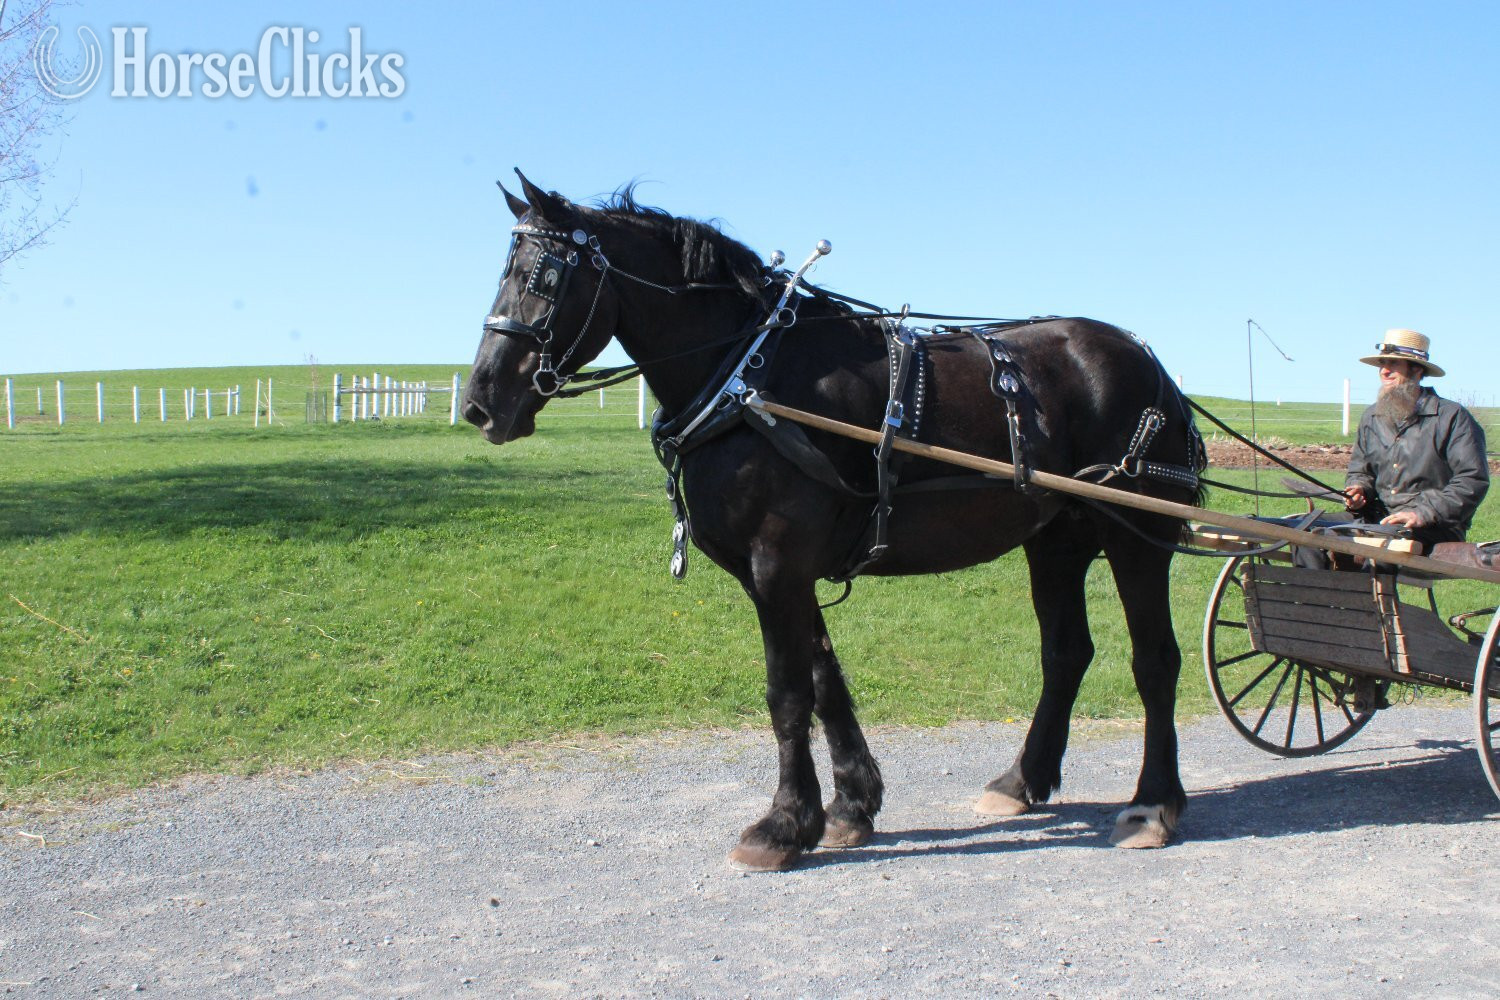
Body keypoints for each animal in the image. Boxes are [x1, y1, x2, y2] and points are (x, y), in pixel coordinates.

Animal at [461, 172, 1207, 871]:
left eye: (544, 275)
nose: (480, 400)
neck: (752, 376)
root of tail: (1149, 363)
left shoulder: (777, 564)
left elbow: (789, 693)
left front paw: (784, 824)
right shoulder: (779, 574)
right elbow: (824, 679)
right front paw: (851, 804)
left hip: (1136, 536)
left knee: (1155, 660)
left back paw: (1152, 804)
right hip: (1056, 539)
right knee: (1066, 653)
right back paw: (1021, 779)